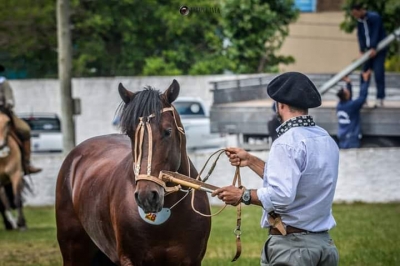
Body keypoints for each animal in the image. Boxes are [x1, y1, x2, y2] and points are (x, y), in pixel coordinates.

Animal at [57, 81, 212, 266]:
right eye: (130, 133)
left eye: (167, 131)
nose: (147, 196)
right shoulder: (130, 259)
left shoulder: (191, 260)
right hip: (74, 252)